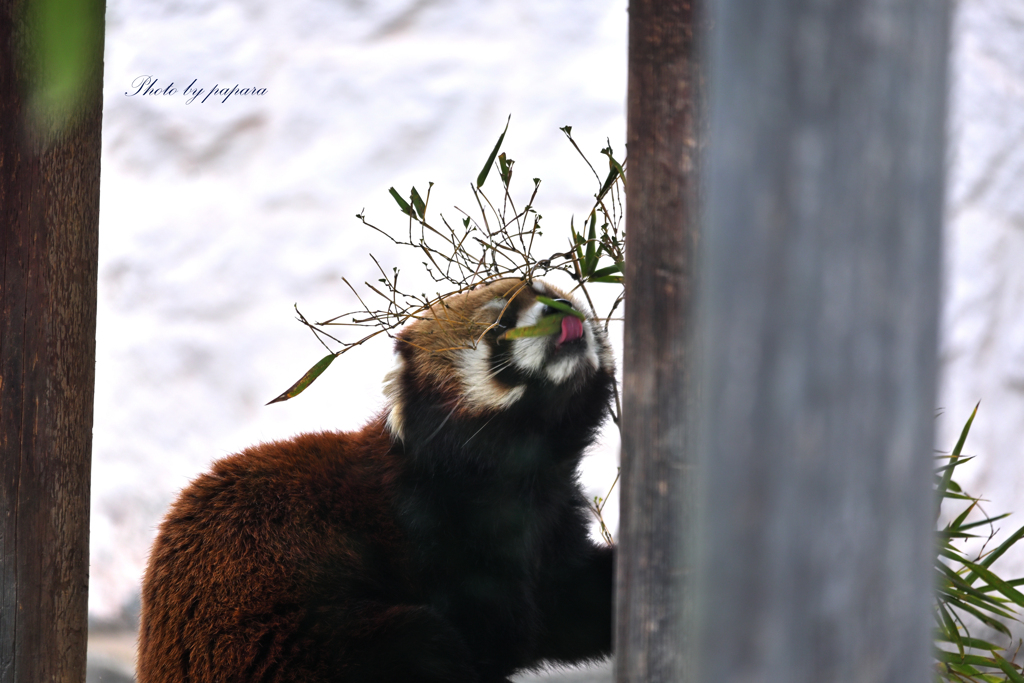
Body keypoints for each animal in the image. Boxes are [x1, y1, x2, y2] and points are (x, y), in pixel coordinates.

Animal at [136, 278, 614, 683]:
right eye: (499, 325)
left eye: (550, 292)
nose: (564, 309)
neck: (518, 479)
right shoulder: (438, 539)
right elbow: (501, 637)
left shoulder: (549, 529)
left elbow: (566, 607)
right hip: (287, 642)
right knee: (419, 643)